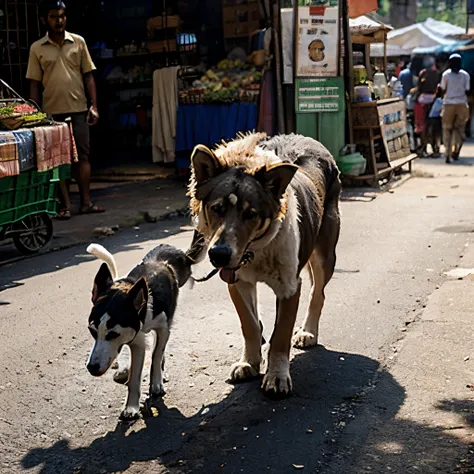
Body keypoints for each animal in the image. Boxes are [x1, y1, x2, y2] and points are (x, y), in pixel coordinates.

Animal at [86, 243, 199, 420]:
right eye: (92, 331)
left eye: (113, 334)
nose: (92, 367)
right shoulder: (136, 341)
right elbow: (134, 378)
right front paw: (131, 406)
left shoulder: (163, 329)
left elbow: (156, 355)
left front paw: (156, 382)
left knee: (160, 350)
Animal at [186, 132, 340, 396]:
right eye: (217, 208)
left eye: (251, 214)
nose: (219, 255)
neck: (255, 251)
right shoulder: (237, 282)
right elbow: (248, 323)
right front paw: (249, 362)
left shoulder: (290, 286)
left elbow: (281, 335)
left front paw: (277, 376)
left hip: (325, 254)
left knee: (318, 293)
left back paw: (308, 331)